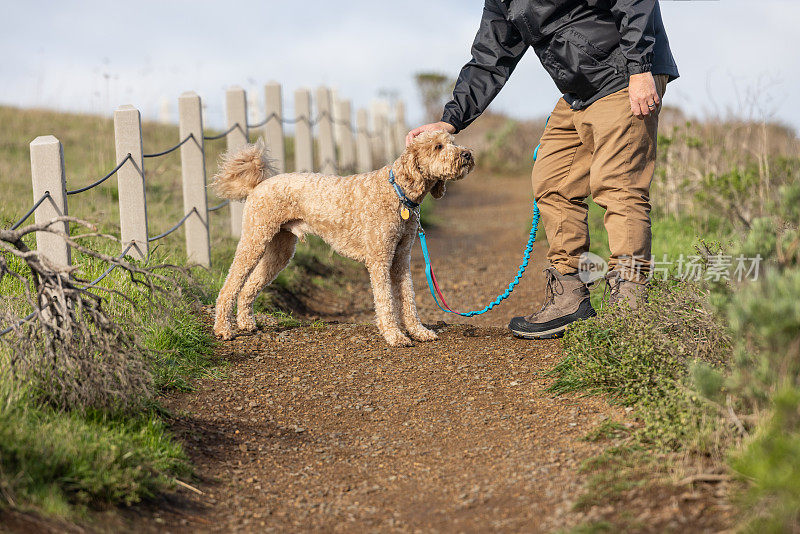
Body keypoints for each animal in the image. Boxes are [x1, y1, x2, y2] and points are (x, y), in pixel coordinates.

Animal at [212, 130, 476, 348]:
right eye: (438, 146)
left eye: (452, 142)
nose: (466, 154)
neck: (397, 192)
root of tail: (260, 183)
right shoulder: (380, 259)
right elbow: (386, 300)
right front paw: (394, 335)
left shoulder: (401, 258)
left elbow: (408, 297)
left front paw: (418, 331)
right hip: (255, 239)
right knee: (229, 286)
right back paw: (224, 329)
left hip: (280, 249)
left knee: (249, 286)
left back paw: (247, 323)